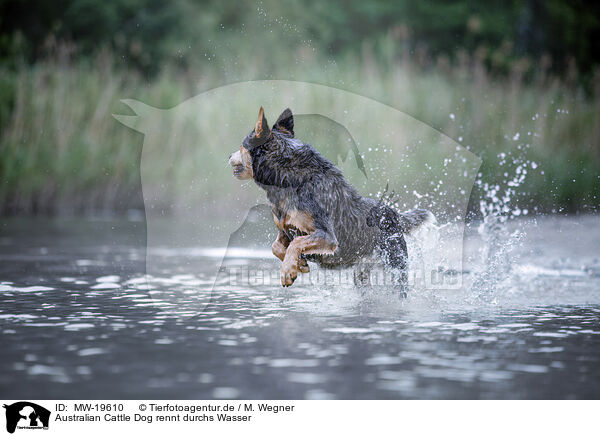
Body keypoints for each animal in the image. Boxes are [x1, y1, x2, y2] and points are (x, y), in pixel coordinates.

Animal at [229, 107, 432, 288]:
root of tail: (393, 213)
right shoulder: (285, 230)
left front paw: (288, 271)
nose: (229, 155)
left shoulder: (327, 236)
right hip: (361, 276)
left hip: (395, 265)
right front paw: (299, 265)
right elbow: (276, 246)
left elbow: (296, 242)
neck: (290, 181)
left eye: (241, 146)